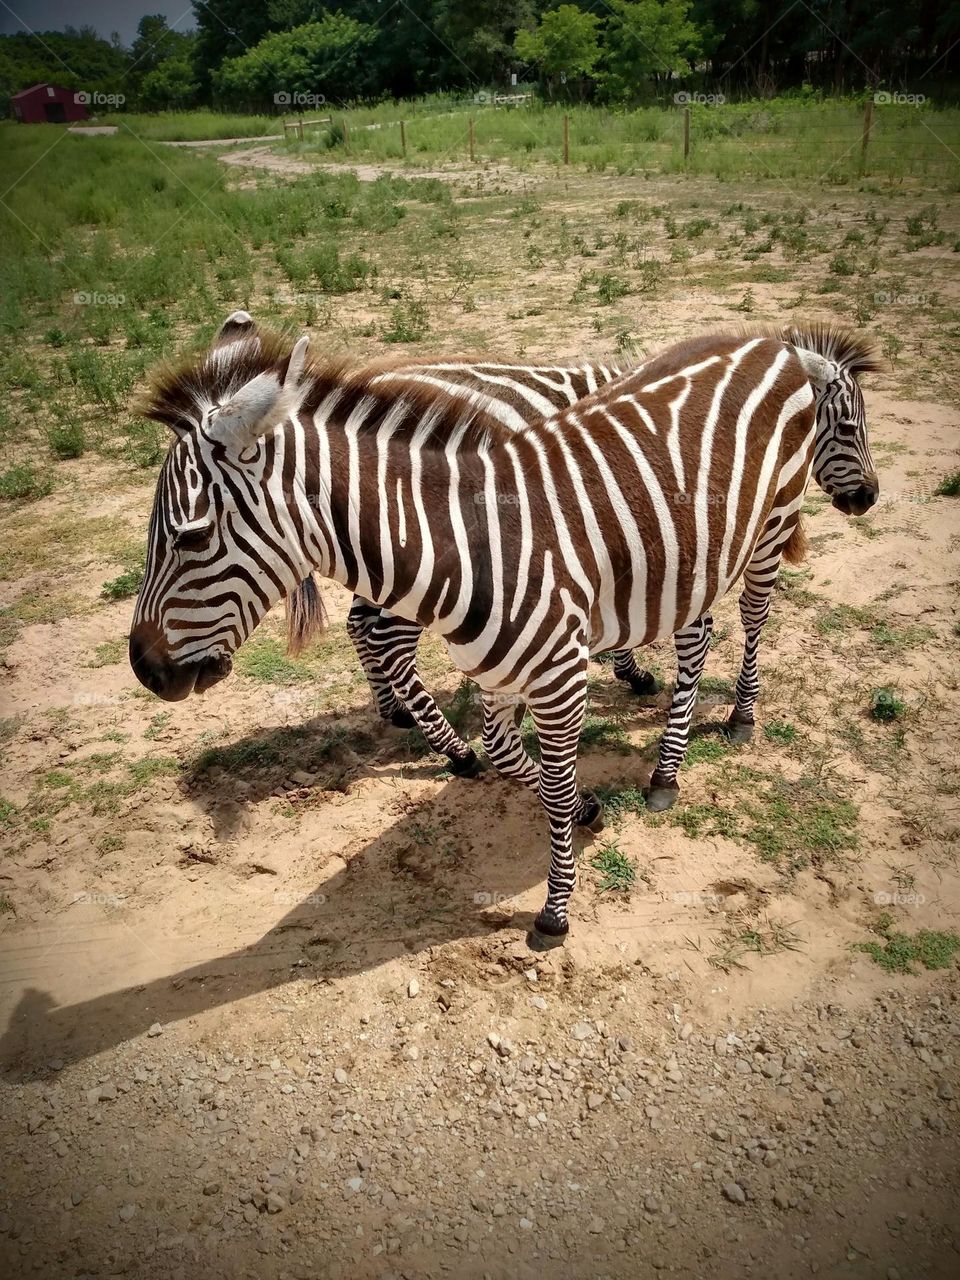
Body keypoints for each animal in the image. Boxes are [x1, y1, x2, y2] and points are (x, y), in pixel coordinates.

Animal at [129, 314, 879, 941]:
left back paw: (735, 720)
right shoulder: (500, 669)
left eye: (190, 536)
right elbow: (511, 756)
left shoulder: (560, 676)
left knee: (751, 618)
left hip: (772, 520)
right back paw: (662, 765)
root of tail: (766, 341)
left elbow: (549, 781)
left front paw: (555, 907)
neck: (473, 540)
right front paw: (583, 806)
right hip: (699, 543)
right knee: (696, 638)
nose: (144, 669)